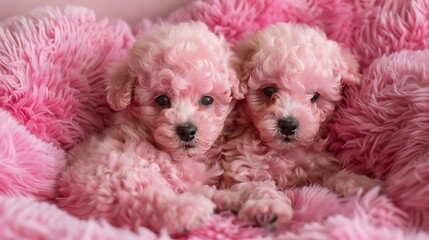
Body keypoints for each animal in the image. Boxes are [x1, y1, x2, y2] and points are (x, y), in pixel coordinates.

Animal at [56, 21, 242, 234]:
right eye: (162, 100)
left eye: (207, 100)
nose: (186, 131)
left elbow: (195, 187)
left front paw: (226, 196)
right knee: (148, 198)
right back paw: (190, 210)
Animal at [221, 23, 382, 230]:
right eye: (269, 90)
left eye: (315, 97)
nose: (288, 125)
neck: (284, 153)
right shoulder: (244, 167)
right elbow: (259, 187)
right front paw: (268, 208)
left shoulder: (317, 166)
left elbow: (333, 176)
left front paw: (363, 183)